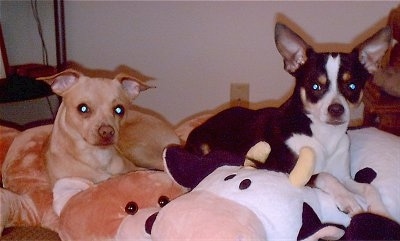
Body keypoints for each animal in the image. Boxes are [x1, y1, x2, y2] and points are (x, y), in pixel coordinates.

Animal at [39, 69, 180, 185]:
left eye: (119, 109)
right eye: (83, 108)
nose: (107, 131)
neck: (99, 157)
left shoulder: (135, 170)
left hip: (137, 150)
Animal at [164, 23, 392, 217]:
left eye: (352, 86)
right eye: (315, 87)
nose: (336, 109)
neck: (323, 134)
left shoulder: (345, 176)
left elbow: (369, 187)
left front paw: (380, 213)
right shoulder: (286, 168)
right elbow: (325, 176)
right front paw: (348, 199)